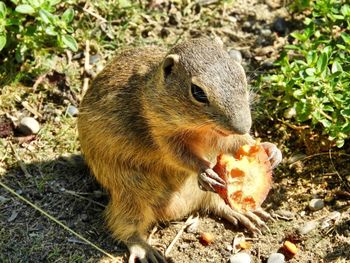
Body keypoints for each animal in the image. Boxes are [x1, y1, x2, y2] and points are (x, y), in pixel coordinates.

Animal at [76, 37, 282, 263]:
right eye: (198, 92)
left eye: (241, 73)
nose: (243, 125)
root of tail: (178, 211)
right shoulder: (163, 136)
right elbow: (180, 156)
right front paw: (205, 171)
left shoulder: (222, 136)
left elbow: (238, 143)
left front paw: (271, 150)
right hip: (130, 196)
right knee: (125, 227)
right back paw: (145, 250)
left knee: (215, 204)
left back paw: (242, 213)